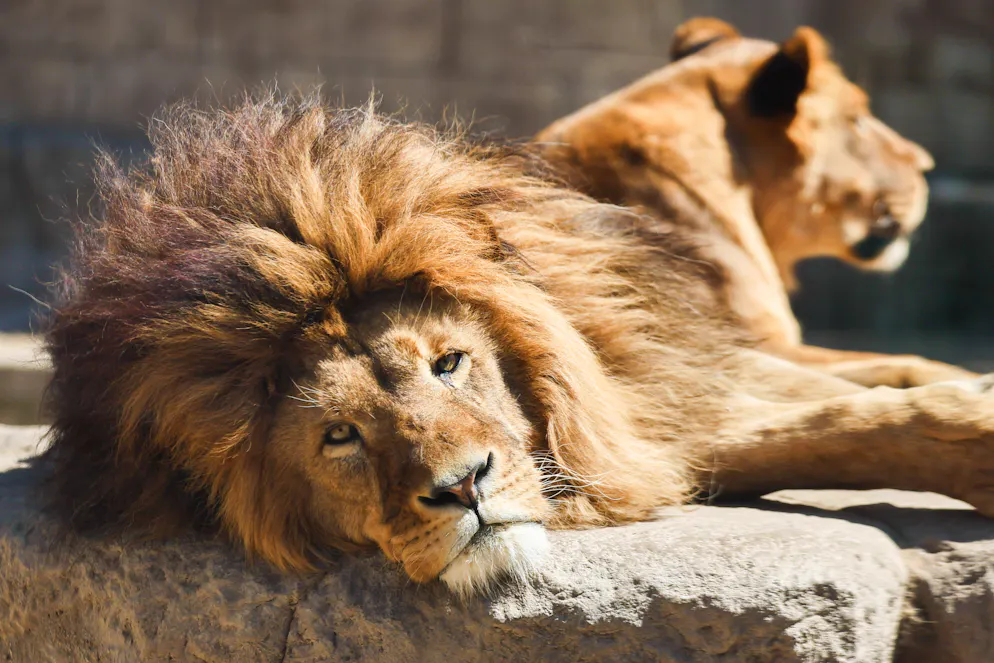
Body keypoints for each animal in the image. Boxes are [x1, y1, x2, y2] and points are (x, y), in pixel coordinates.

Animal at [43, 95, 994, 596]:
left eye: (449, 362)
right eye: (338, 436)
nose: (463, 486)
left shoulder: (652, 376)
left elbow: (861, 395)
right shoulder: (659, 430)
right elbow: (842, 423)